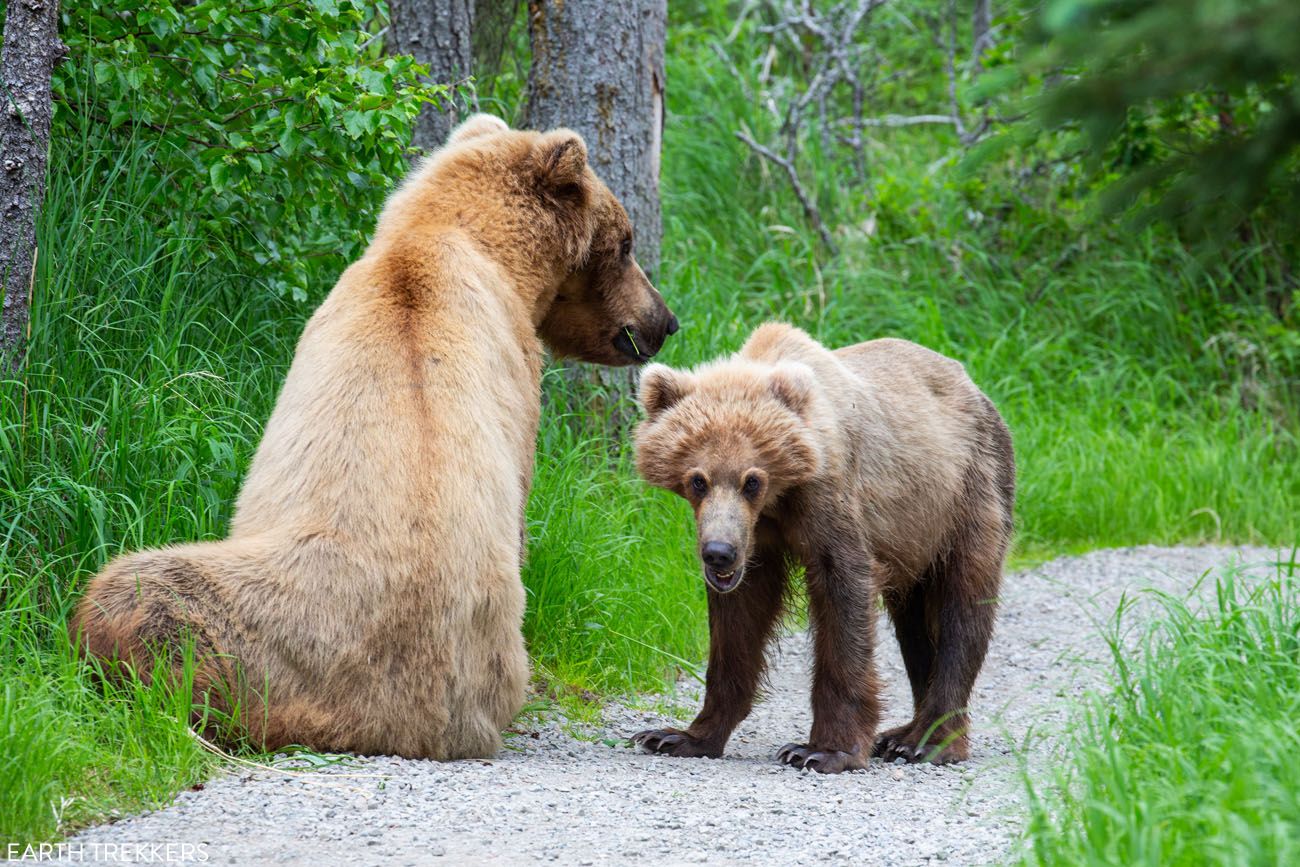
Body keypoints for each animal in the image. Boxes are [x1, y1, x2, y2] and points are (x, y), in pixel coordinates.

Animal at [68, 113, 681, 759]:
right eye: (627, 243)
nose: (663, 322)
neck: (460, 240)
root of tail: (395, 721)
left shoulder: (515, 381)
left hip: (290, 624)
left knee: (135, 590)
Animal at [634, 323, 1008, 774]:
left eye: (751, 480)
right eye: (698, 480)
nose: (718, 552)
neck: (778, 499)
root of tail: (972, 385)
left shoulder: (828, 501)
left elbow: (843, 597)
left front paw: (822, 750)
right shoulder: (756, 542)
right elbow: (738, 621)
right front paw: (678, 735)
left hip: (966, 491)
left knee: (964, 605)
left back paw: (931, 741)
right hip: (915, 536)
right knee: (914, 623)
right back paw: (902, 734)